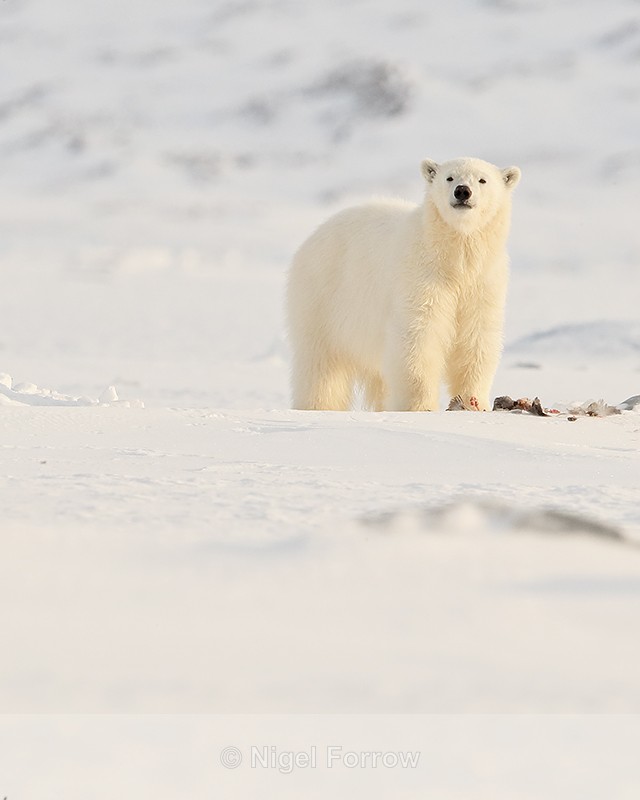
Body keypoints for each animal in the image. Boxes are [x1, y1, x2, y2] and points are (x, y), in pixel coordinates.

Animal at [286, 157, 521, 412]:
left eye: (482, 180)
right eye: (449, 177)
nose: (462, 191)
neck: (452, 257)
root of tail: (312, 237)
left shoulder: (483, 282)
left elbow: (476, 337)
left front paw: (473, 403)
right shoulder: (421, 276)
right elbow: (419, 336)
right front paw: (420, 407)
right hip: (322, 296)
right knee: (321, 366)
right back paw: (317, 406)